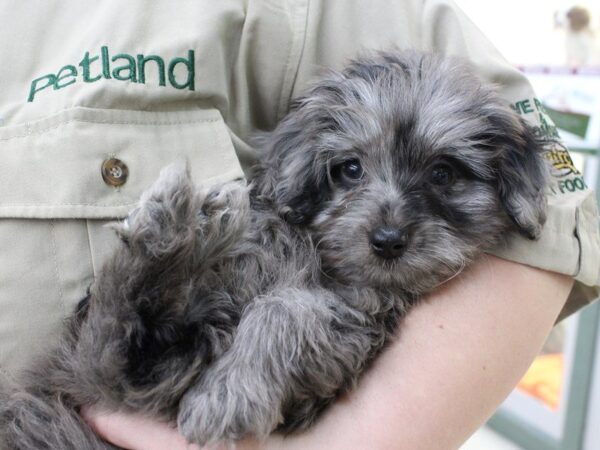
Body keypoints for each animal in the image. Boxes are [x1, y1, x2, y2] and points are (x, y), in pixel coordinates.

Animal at [0, 51, 548, 448]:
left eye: (443, 173)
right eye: (350, 169)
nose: (388, 242)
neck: (315, 254)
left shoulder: (350, 326)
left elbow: (282, 309)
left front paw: (226, 394)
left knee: (118, 344)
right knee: (109, 333)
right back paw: (172, 226)